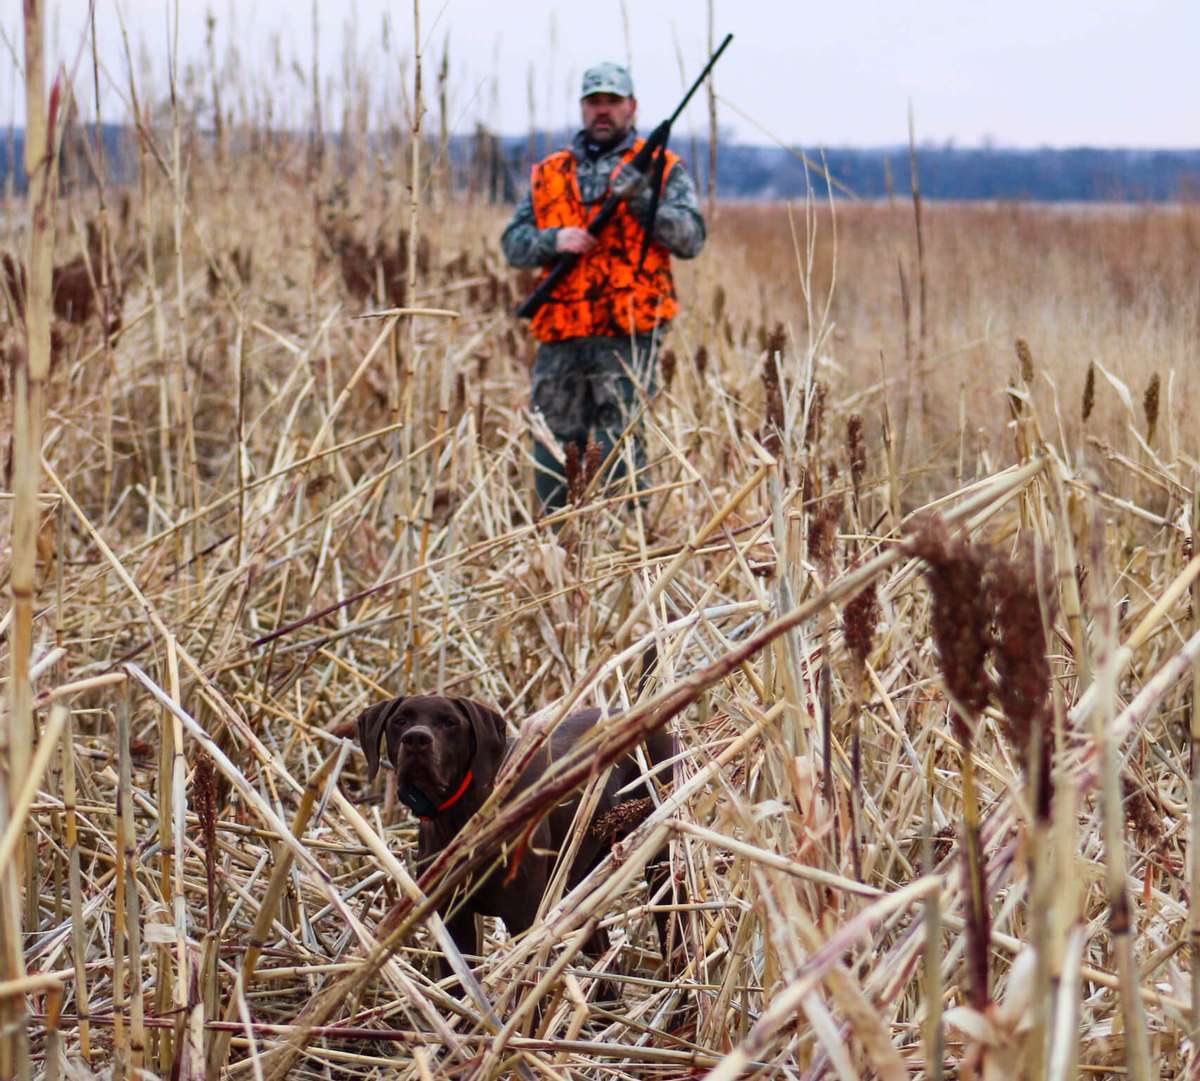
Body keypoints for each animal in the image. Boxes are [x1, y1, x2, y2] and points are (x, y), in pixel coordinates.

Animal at [352, 695, 676, 993]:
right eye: (400, 721)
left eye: (450, 722)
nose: (416, 739)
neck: (464, 817)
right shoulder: (452, 924)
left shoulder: (524, 920)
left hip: (660, 866)